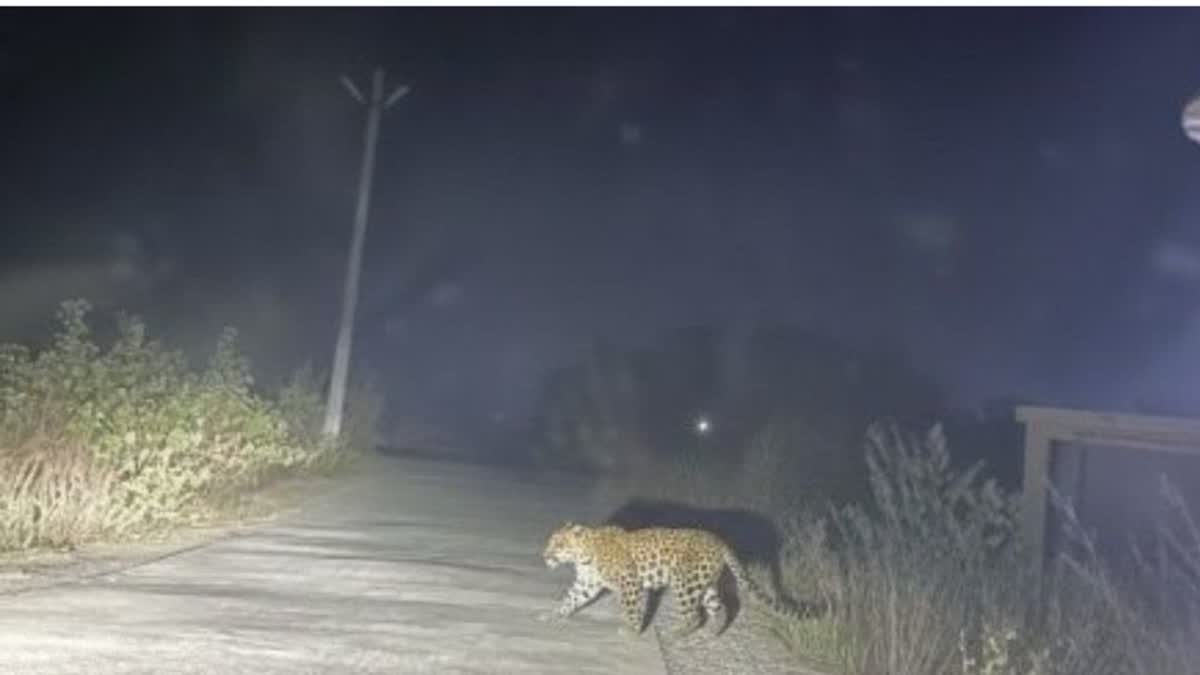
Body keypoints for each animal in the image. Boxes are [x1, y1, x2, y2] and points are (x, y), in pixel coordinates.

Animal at [539, 521, 806, 639]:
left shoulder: (629, 583)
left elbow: (632, 609)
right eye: (551, 543)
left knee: (694, 615)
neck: (584, 554)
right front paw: (553, 615)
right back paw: (712, 633)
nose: (544, 556)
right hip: (704, 585)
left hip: (686, 583)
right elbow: (571, 599)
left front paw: (632, 631)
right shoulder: (586, 584)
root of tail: (720, 542)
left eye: (558, 544)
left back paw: (675, 633)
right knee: (720, 608)